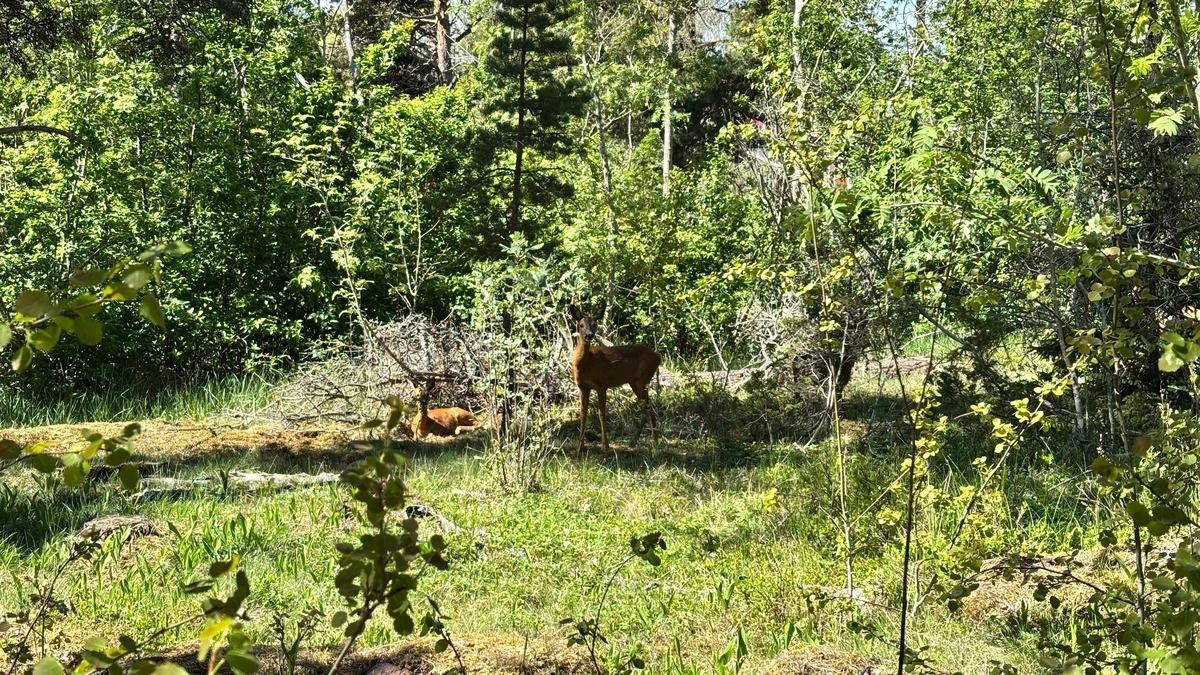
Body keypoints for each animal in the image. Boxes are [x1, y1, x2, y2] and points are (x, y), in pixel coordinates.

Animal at [568, 304, 662, 454]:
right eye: (581, 325)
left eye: (594, 324)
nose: (589, 335)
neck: (585, 363)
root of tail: (658, 357)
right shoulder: (583, 387)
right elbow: (583, 414)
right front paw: (579, 447)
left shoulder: (601, 384)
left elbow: (601, 414)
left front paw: (605, 446)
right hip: (635, 382)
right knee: (648, 405)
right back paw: (650, 439)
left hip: (642, 380)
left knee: (649, 406)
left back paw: (645, 440)